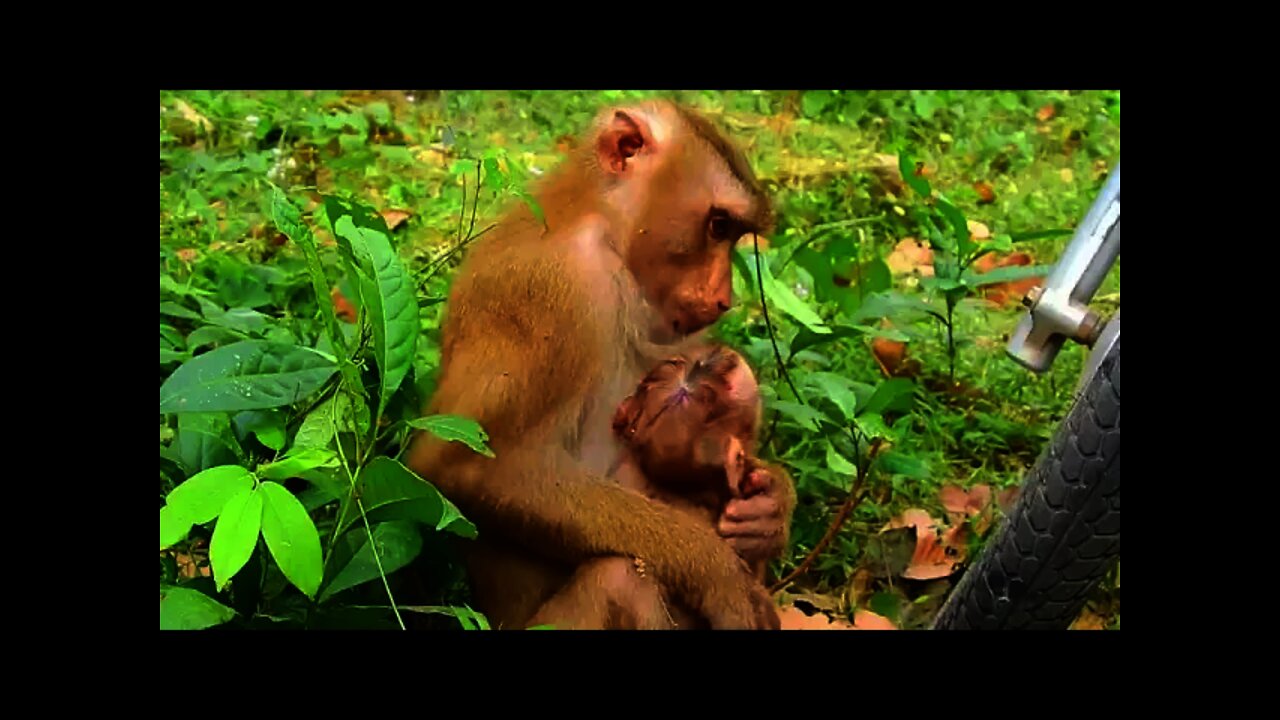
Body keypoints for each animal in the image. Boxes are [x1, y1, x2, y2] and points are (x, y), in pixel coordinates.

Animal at [407, 98, 788, 625]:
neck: (597, 221)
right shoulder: (554, 290)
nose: (722, 299)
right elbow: (464, 465)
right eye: (717, 226)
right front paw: (716, 572)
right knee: (621, 579)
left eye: (731, 233)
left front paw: (772, 508)